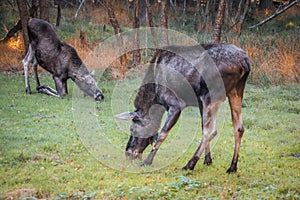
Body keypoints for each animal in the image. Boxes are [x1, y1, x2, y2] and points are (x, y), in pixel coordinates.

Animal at [115, 43, 251, 173]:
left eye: (132, 129)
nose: (128, 153)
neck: (155, 96)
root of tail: (245, 62)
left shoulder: (176, 105)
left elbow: (162, 133)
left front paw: (147, 161)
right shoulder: (199, 103)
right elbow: (202, 126)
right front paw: (208, 160)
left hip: (210, 95)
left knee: (211, 131)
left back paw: (189, 165)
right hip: (234, 91)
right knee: (238, 128)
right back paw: (232, 167)